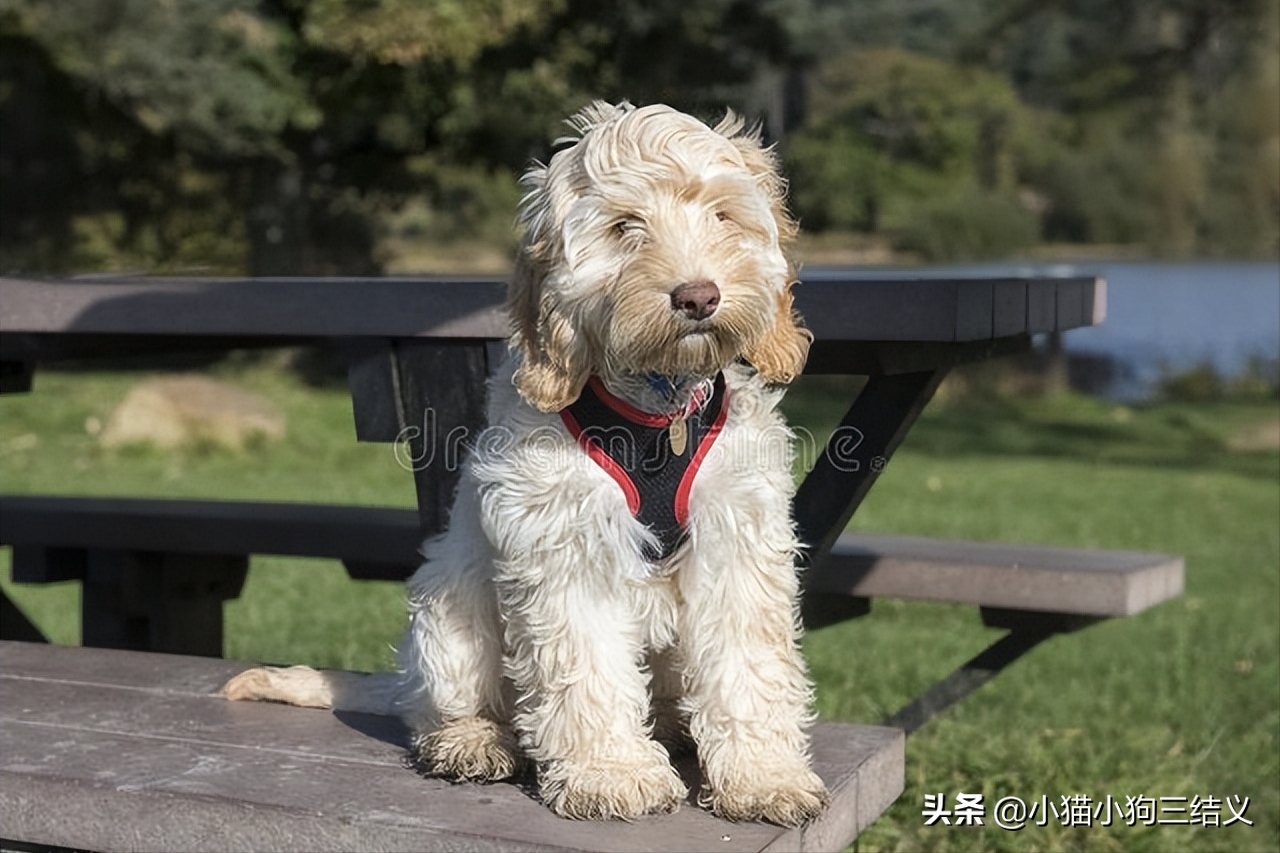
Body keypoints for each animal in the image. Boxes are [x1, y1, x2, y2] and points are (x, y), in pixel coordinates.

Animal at [225, 99, 829, 824]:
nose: (698, 296)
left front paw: (765, 775)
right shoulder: (565, 540)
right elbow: (587, 662)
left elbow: (749, 662)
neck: (658, 409)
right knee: (441, 706)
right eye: (625, 227)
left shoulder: (737, 535)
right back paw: (472, 741)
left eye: (721, 214)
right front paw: (610, 772)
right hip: (449, 607)